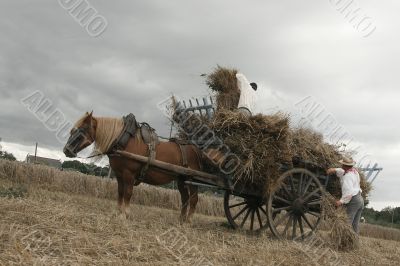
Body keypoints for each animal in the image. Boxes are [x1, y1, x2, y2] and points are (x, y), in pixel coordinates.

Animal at [64, 110, 202, 222]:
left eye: (82, 130)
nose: (66, 150)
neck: (123, 141)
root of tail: (195, 149)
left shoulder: (129, 174)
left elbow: (128, 193)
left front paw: (125, 214)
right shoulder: (119, 174)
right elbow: (120, 192)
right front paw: (118, 212)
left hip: (192, 179)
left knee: (194, 199)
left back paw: (188, 221)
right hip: (181, 180)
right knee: (185, 198)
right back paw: (181, 219)